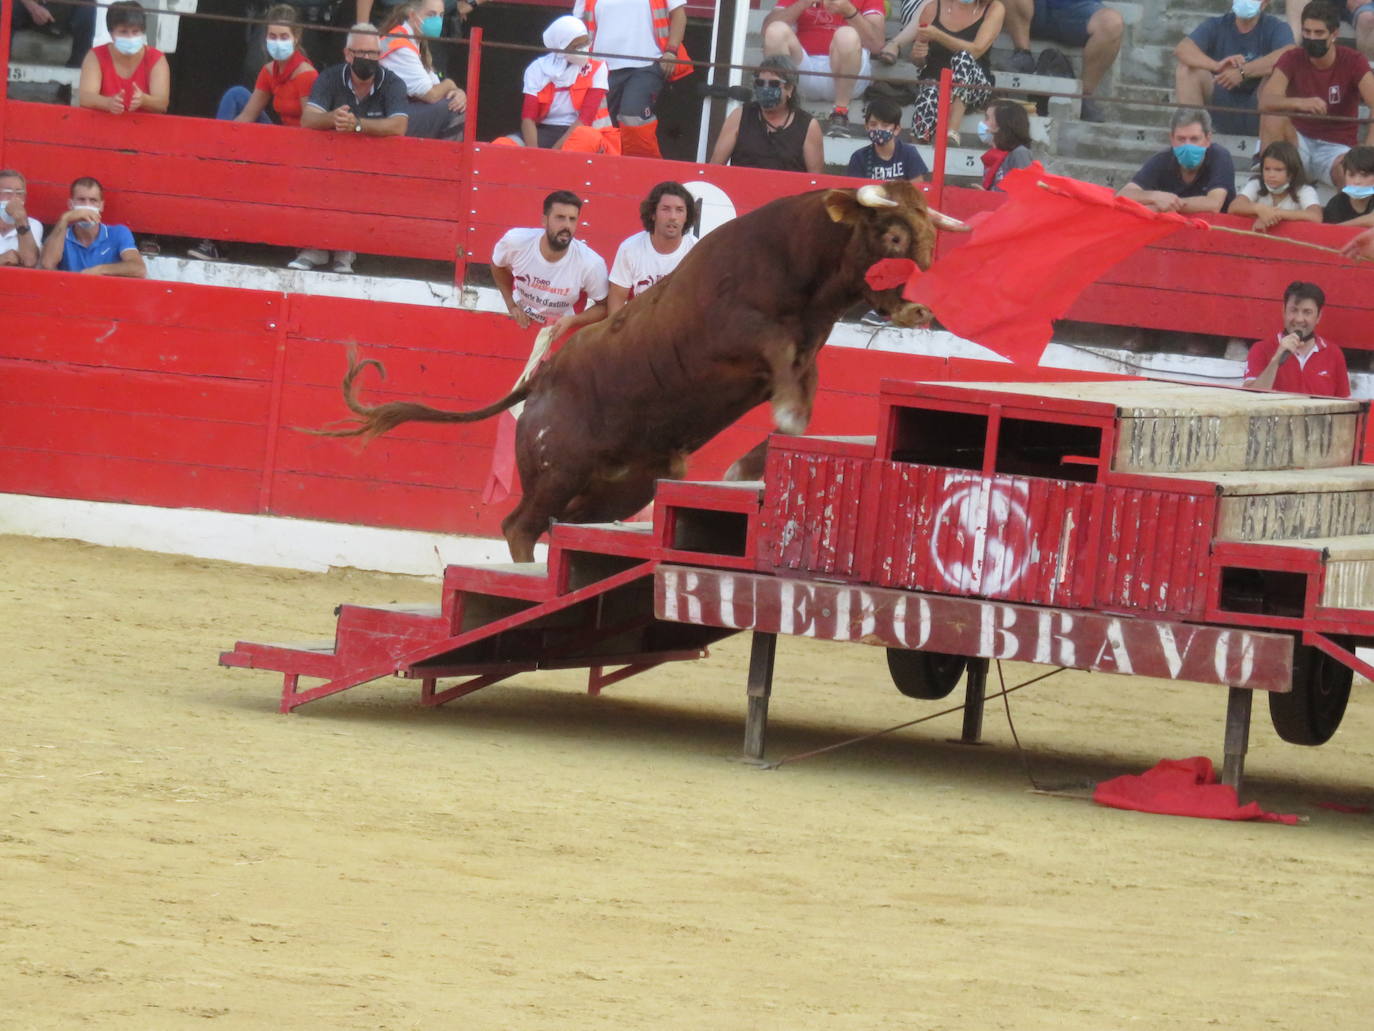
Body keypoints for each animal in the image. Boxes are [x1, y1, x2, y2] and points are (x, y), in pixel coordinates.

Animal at [317, 181, 961, 560]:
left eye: (924, 229)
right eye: (889, 229)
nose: (922, 293)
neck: (801, 264)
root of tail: (539, 379)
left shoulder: (807, 358)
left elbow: (803, 412)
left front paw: (747, 466)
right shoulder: (745, 338)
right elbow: (785, 388)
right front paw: (763, 444)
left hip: (614, 489)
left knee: (559, 525)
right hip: (559, 468)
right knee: (520, 526)